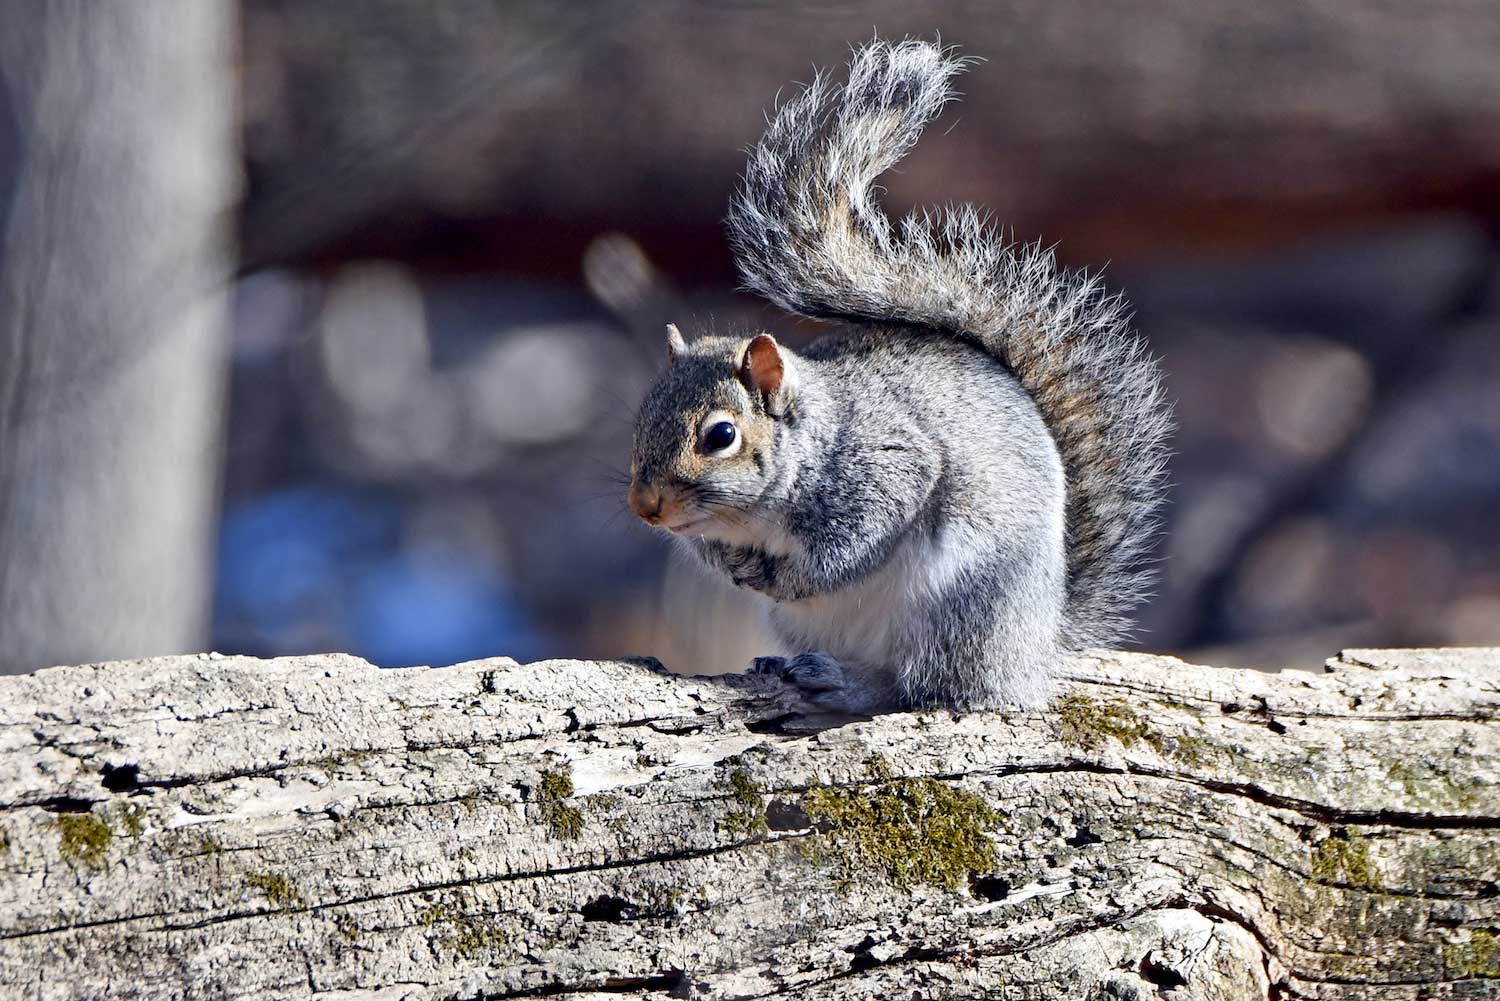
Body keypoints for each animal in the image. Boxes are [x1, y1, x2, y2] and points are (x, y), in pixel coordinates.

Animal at [621, 39, 1170, 711]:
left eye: (721, 436)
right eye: (642, 416)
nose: (645, 507)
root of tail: (1034, 646)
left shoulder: (883, 468)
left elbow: (851, 544)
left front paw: (791, 575)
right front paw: (735, 568)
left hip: (965, 603)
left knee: (921, 686)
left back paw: (846, 683)